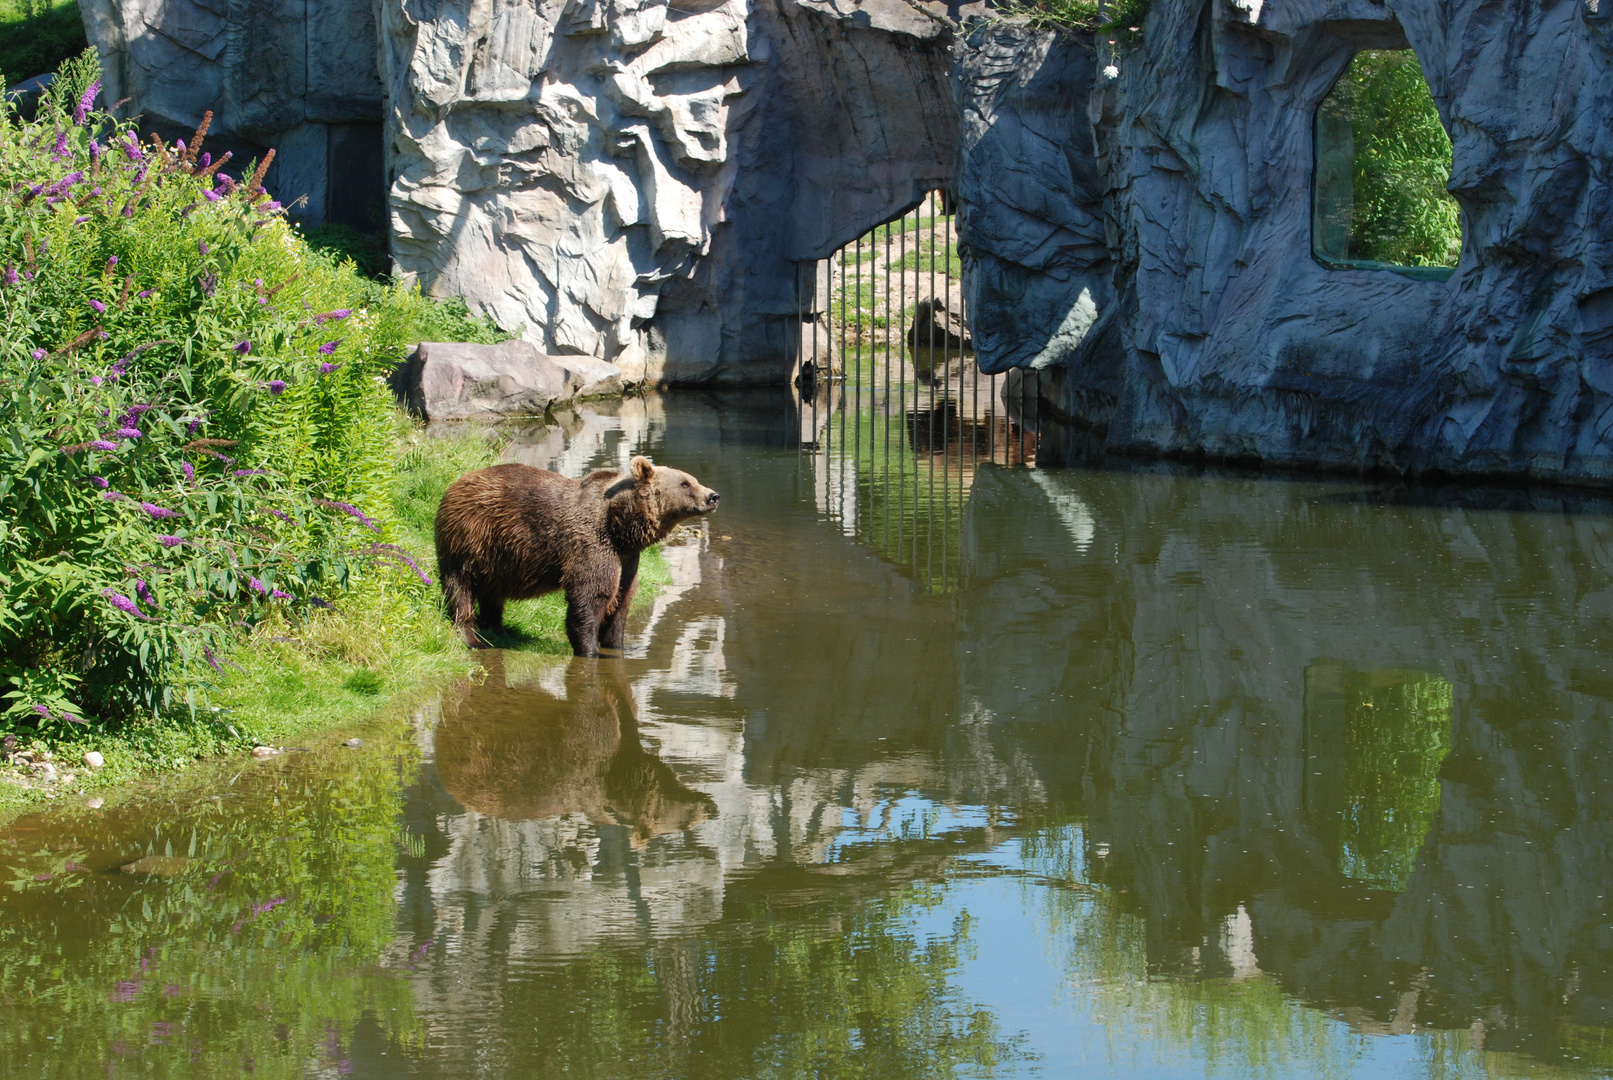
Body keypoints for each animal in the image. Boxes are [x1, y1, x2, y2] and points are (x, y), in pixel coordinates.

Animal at [438, 454, 722, 654]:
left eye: (692, 479)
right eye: (685, 482)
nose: (714, 496)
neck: (619, 527)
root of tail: (455, 483)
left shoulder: (627, 559)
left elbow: (622, 600)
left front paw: (618, 644)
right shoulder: (592, 546)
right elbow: (591, 596)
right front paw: (589, 648)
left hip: (496, 558)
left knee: (492, 593)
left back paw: (498, 630)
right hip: (470, 538)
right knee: (460, 588)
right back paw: (472, 637)